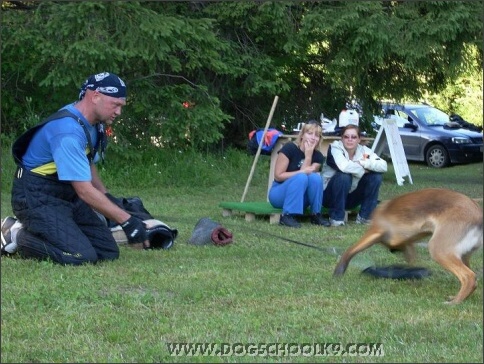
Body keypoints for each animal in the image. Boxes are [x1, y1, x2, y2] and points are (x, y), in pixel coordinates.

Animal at [334, 188, 482, 304]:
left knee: (469, 277)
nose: (392, 251)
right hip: (462, 256)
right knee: (471, 279)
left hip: (439, 250)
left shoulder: (376, 231)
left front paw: (339, 271)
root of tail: (479, 215)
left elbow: (351, 250)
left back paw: (455, 302)